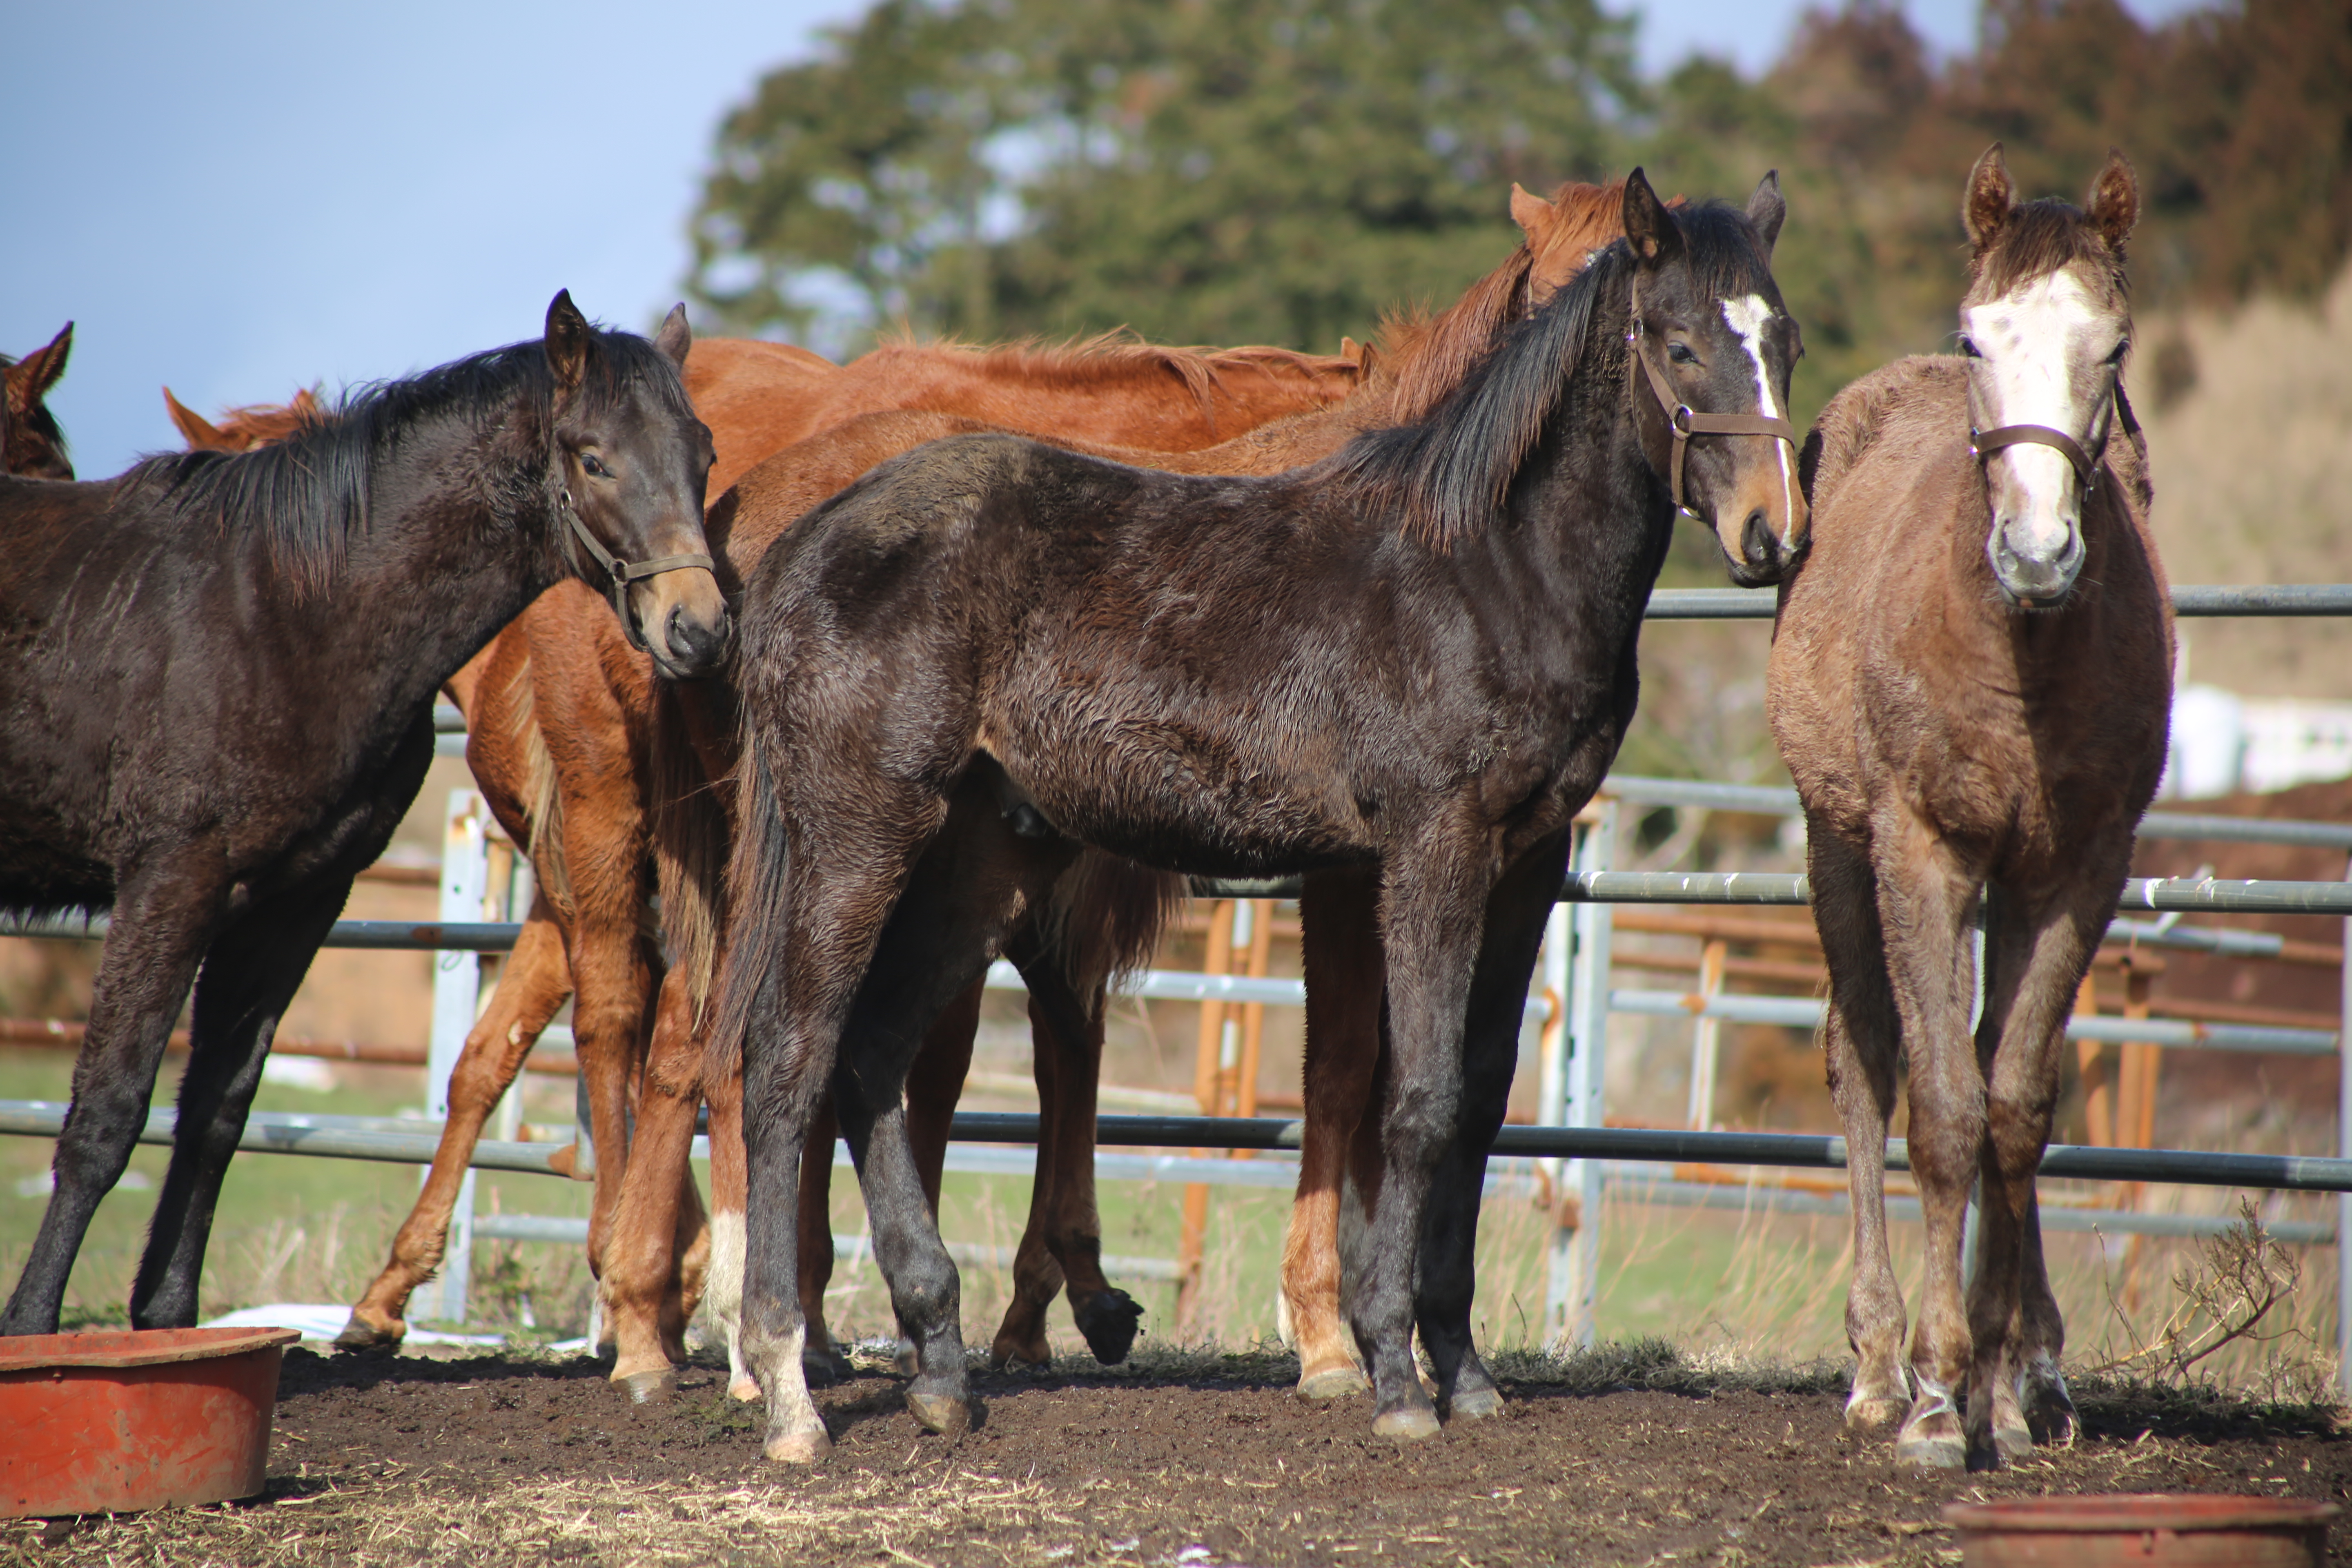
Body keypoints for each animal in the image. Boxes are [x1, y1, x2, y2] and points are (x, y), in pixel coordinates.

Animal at [0, 297, 734, 1335]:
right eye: (593, 458)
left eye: (702, 453)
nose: (698, 628)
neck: (282, 607)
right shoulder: (172, 881)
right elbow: (112, 1109)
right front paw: (35, 1324)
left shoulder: (296, 900)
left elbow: (221, 1108)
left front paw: (171, 1318)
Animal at [710, 172, 1797, 1457]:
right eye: (1677, 343)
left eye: (1782, 339)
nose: (1773, 535)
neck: (1487, 567)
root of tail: (796, 546)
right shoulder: (1430, 848)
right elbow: (1413, 1101)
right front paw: (1392, 1378)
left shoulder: (1528, 859)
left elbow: (1478, 1103)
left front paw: (1464, 1371)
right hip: (859, 837)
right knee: (788, 1057)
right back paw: (786, 1387)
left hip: (977, 859)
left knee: (873, 1053)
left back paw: (939, 1369)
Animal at [1768, 147, 2164, 1476]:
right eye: (1974, 334)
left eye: (2114, 343)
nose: (2036, 551)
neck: (2020, 649)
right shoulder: (1921, 852)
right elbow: (1940, 1109)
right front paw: (1939, 1393)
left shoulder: (2078, 867)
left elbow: (2017, 1106)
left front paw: (2003, 1377)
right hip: (1837, 847)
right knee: (1862, 1057)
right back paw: (1876, 1366)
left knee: (1995, 1066)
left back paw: (2027, 1367)